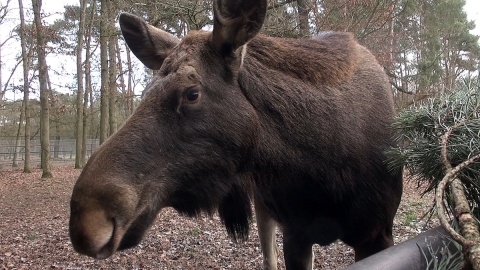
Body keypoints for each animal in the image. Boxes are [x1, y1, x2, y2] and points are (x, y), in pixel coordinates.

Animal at [69, 1, 404, 268]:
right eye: (145, 90)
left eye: (192, 93)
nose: (88, 218)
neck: (323, 170)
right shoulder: (295, 233)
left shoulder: (377, 234)